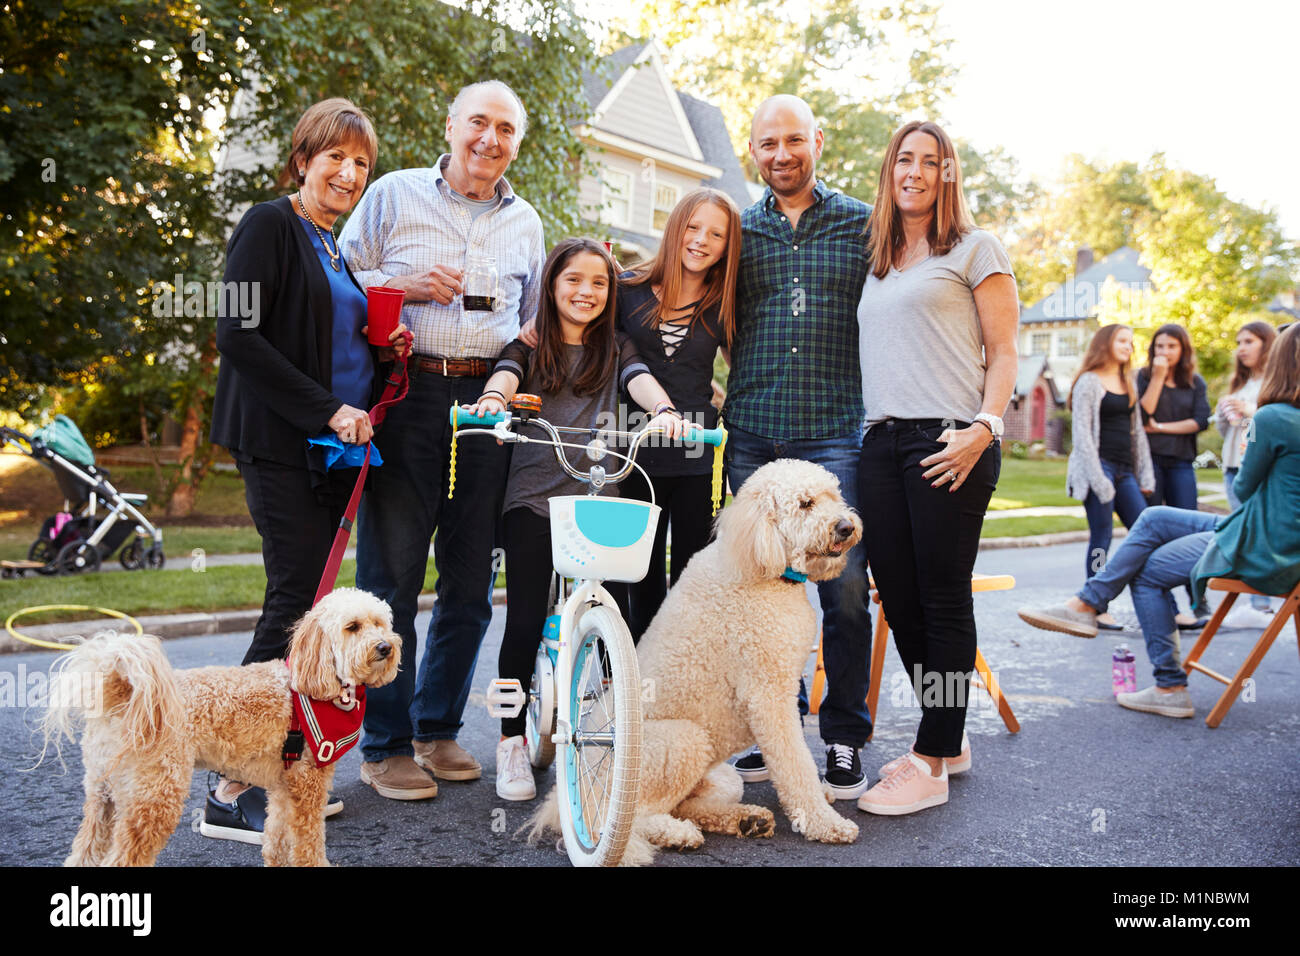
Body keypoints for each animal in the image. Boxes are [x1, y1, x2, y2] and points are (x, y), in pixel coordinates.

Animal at [43, 587, 397, 868]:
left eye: (380, 623)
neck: (315, 686)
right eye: (352, 627)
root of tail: (124, 693)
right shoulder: (308, 780)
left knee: (84, 852)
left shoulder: (284, 784)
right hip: (155, 795)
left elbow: (278, 834)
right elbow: (307, 842)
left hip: (103, 796)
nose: (385, 647)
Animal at [533, 460, 868, 863]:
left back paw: (746, 820)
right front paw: (824, 821)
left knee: (689, 806)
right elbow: (795, 763)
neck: (762, 565)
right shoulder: (769, 696)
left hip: (723, 778)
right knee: (633, 819)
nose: (846, 526)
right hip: (679, 745)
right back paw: (676, 833)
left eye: (833, 495)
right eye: (805, 504)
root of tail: (564, 801)